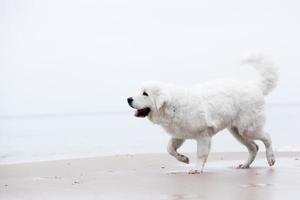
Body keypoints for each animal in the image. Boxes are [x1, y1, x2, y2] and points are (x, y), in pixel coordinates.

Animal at [127, 55, 278, 173]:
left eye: (145, 93)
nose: (128, 99)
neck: (173, 106)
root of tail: (254, 86)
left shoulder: (203, 135)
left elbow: (200, 154)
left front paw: (197, 168)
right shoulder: (179, 134)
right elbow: (169, 149)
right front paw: (183, 159)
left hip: (248, 128)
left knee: (267, 137)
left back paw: (271, 158)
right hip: (237, 131)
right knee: (254, 147)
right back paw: (245, 165)